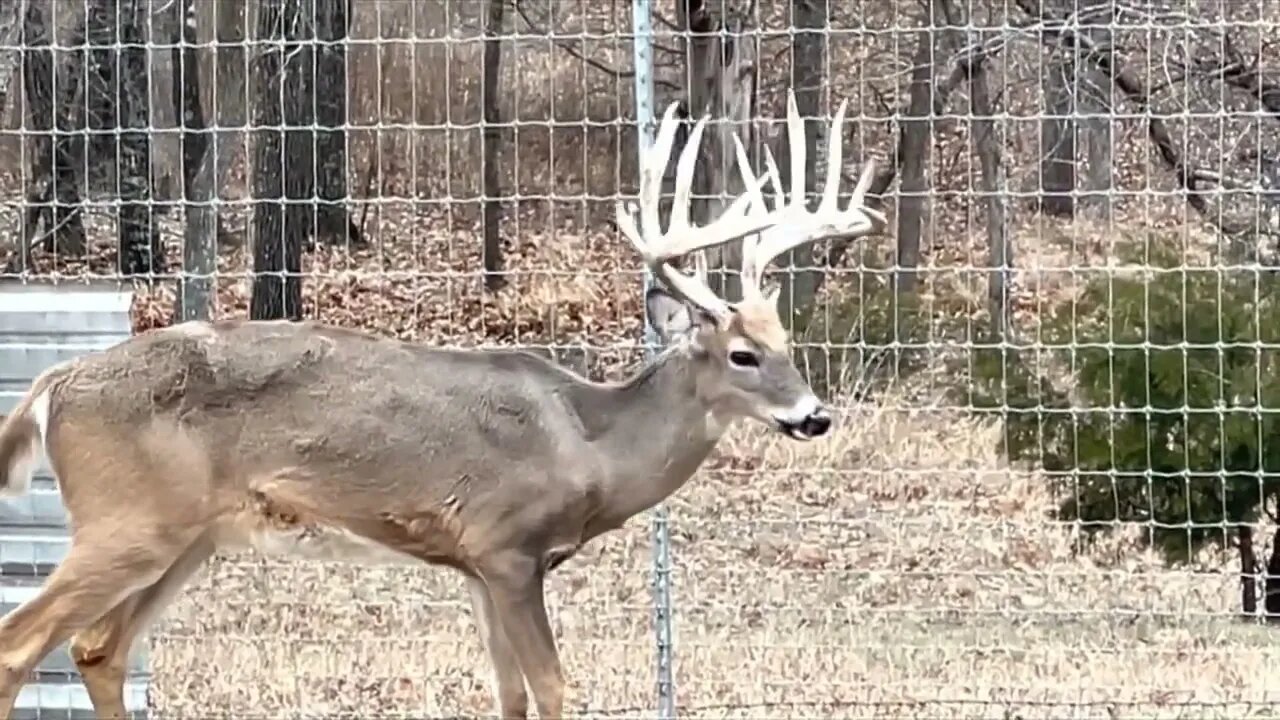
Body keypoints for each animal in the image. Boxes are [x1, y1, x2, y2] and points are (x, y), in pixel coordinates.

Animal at [0, 90, 885, 717]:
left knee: (98, 648)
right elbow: (554, 689)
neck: (590, 444)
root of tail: (55, 384)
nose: (814, 415)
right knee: (22, 644)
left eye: (789, 341)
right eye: (742, 354)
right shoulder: (507, 547)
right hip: (128, 520)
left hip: (191, 536)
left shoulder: (478, 568)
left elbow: (511, 695)